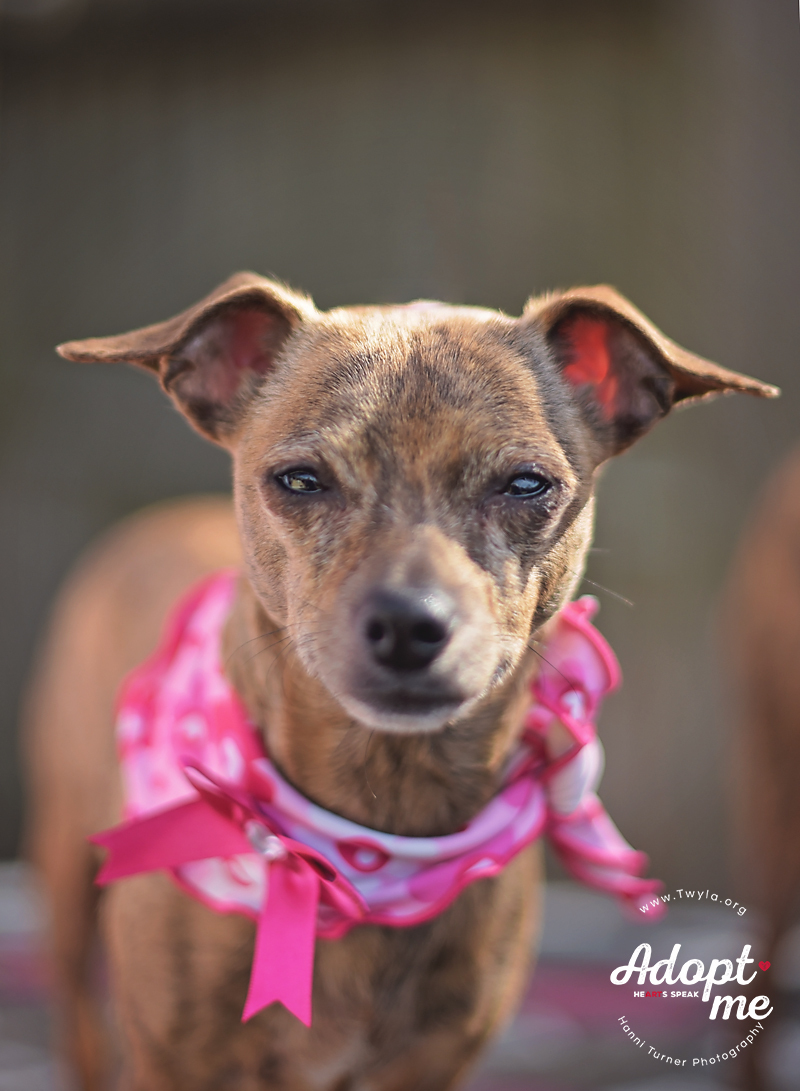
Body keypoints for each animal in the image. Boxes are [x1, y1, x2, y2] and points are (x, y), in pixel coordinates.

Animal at [23, 270, 772, 1091]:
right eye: (300, 479)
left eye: (526, 483)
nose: (410, 623)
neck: (369, 843)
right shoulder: (174, 1061)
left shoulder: (429, 1064)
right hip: (67, 891)